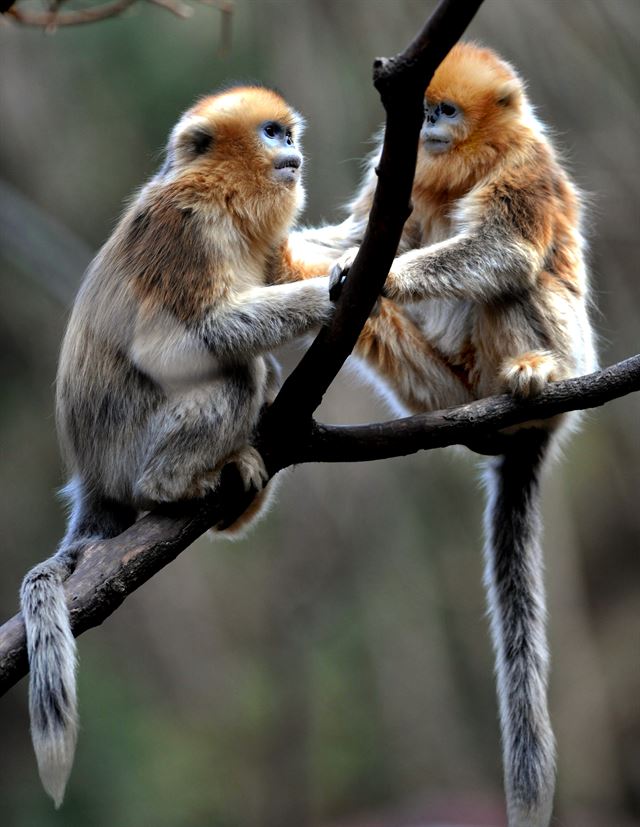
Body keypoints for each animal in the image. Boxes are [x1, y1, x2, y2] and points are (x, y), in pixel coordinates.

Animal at [20, 84, 336, 808]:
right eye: (272, 132)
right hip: (133, 447)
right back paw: (174, 484)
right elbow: (169, 347)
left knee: (256, 369)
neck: (219, 194)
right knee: (239, 370)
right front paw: (327, 293)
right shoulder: (186, 227)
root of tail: (92, 478)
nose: (292, 151)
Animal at [284, 43, 596, 827]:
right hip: (437, 384)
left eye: (445, 110)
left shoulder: (527, 167)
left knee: (517, 281)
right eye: (422, 108)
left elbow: (505, 249)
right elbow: (350, 239)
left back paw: (534, 375)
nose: (424, 126)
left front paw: (384, 276)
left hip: (563, 355)